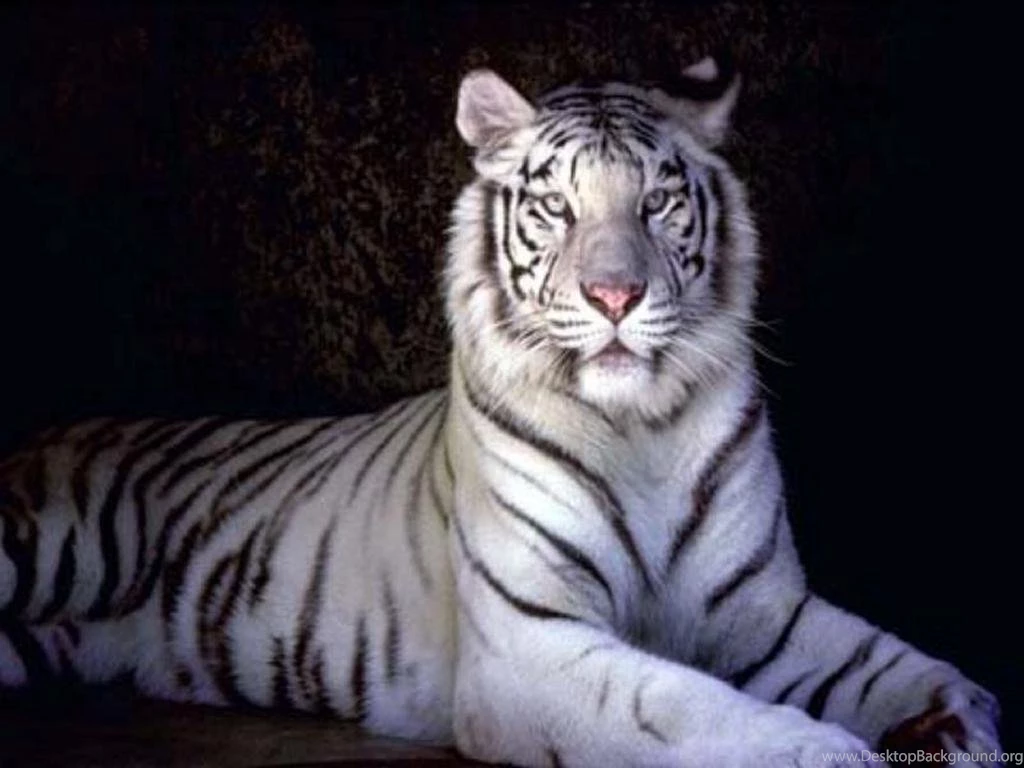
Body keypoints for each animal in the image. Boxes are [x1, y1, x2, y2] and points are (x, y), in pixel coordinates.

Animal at [0, 59, 1005, 768]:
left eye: (658, 201)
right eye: (556, 207)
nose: (614, 295)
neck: (643, 426)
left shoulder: (764, 612)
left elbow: (902, 666)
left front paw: (959, 726)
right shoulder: (529, 642)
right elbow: (678, 705)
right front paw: (817, 750)